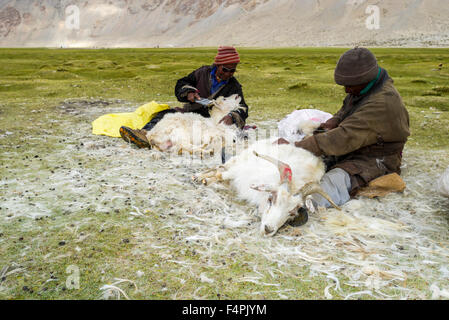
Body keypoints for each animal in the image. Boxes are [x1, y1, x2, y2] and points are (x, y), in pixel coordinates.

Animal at [192, 139, 340, 236]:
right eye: (271, 199)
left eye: (292, 213)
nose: (268, 229)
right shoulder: (239, 172)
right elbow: (220, 174)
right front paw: (204, 179)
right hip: (237, 161)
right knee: (219, 168)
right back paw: (199, 176)